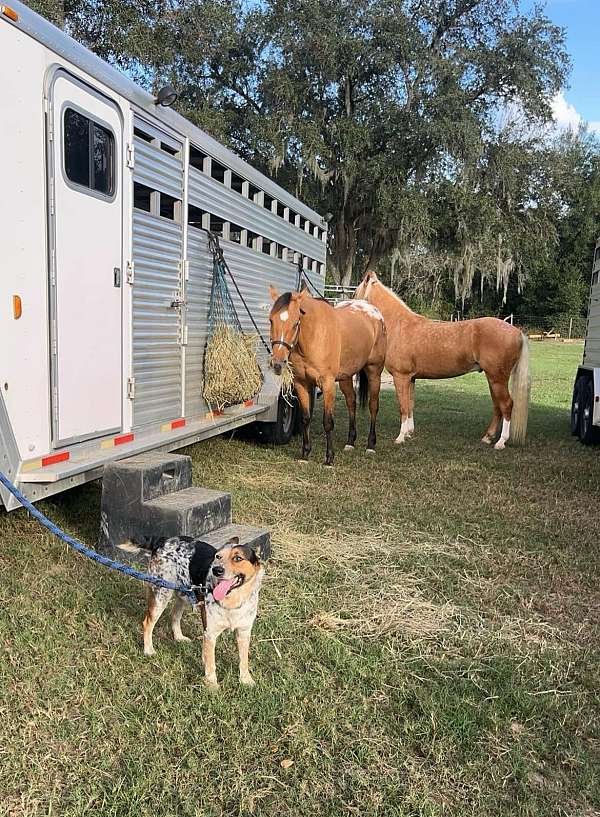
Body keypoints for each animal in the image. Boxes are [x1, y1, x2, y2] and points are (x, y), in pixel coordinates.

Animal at [142, 532, 264, 684]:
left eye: (238, 558)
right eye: (218, 556)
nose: (216, 570)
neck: (233, 600)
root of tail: (162, 541)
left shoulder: (244, 632)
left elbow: (244, 660)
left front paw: (246, 680)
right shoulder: (210, 633)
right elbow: (211, 664)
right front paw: (212, 684)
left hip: (184, 594)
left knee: (174, 615)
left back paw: (179, 637)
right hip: (161, 595)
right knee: (147, 623)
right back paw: (148, 650)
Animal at [270, 286, 386, 466]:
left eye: (296, 323)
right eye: (271, 321)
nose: (277, 363)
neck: (313, 335)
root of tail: (374, 312)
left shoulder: (328, 384)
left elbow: (328, 422)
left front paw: (329, 459)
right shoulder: (302, 383)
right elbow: (305, 418)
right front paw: (305, 454)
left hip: (374, 372)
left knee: (373, 406)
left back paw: (370, 445)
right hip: (345, 377)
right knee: (351, 402)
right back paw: (350, 442)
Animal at [354, 270, 528, 450]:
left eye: (355, 293)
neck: (399, 326)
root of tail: (517, 332)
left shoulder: (400, 377)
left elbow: (403, 406)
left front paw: (400, 437)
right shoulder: (411, 378)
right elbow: (410, 405)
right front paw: (409, 433)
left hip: (497, 378)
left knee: (506, 405)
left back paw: (501, 442)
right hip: (493, 378)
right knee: (497, 406)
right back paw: (488, 437)